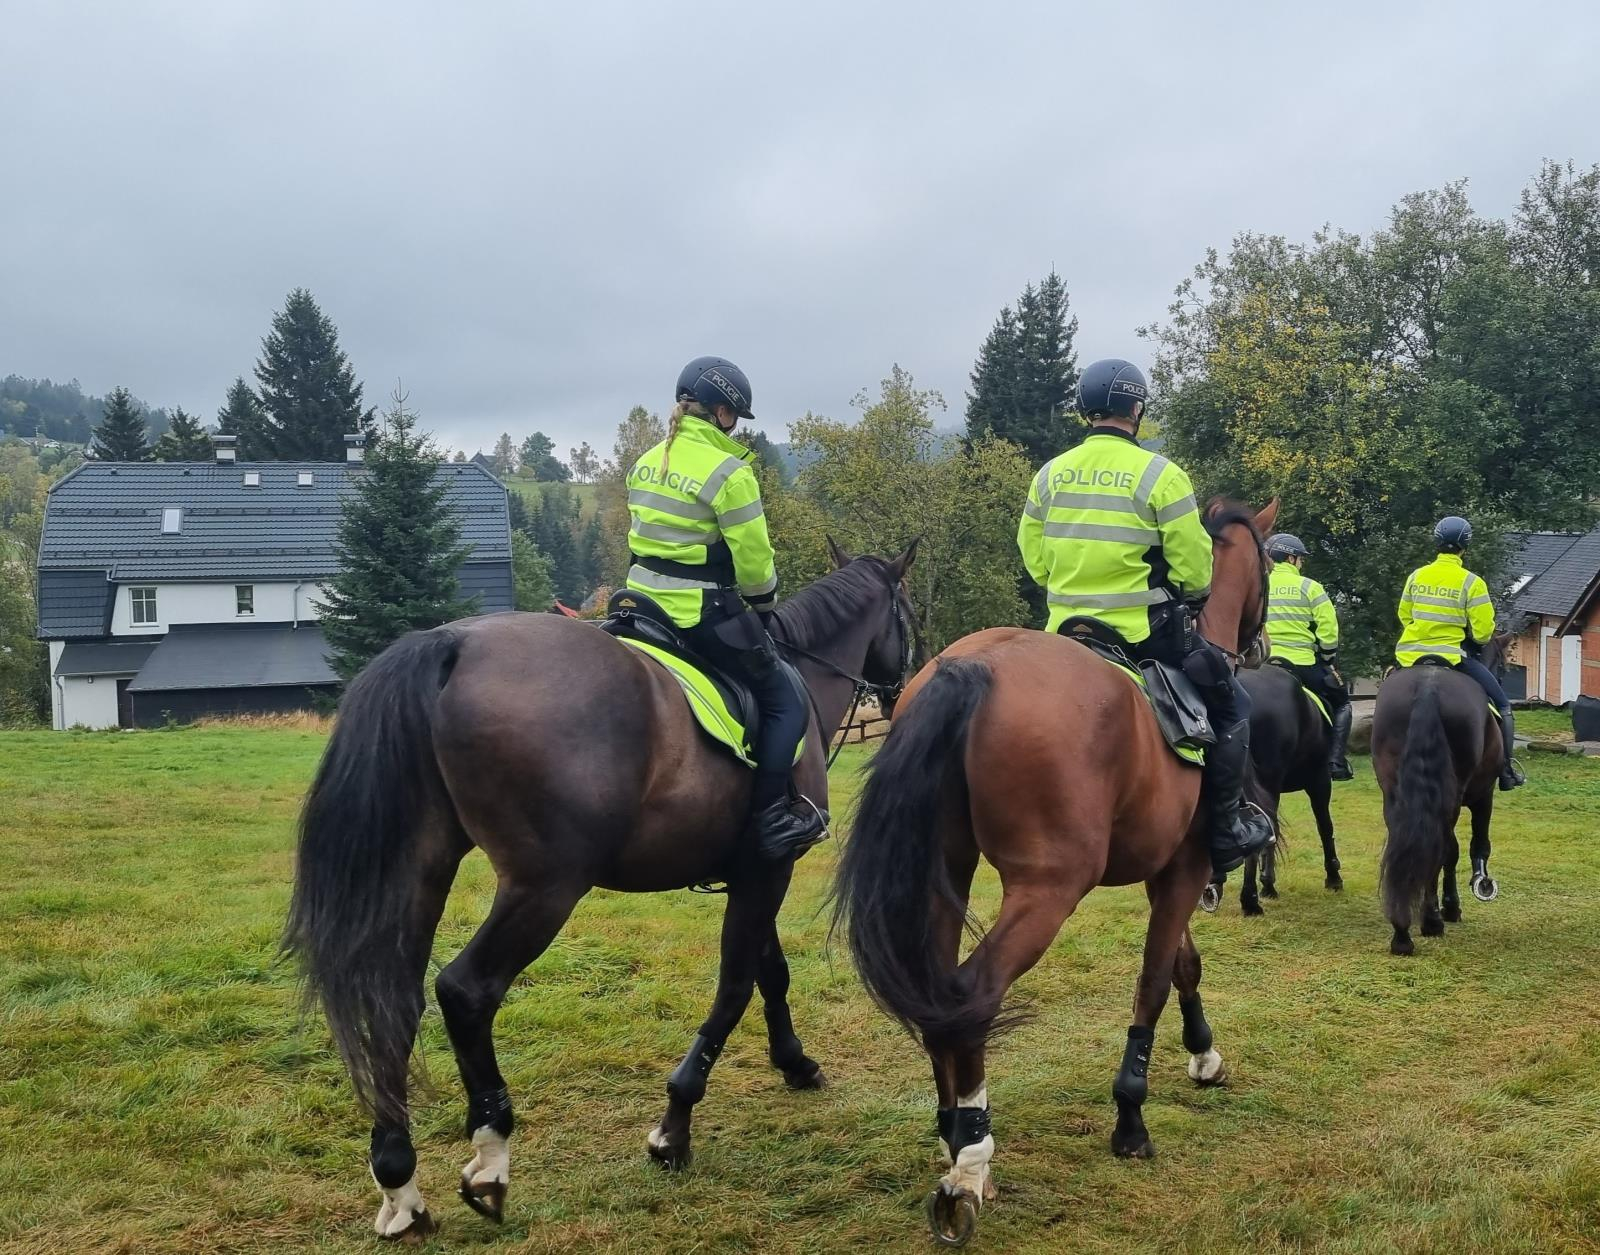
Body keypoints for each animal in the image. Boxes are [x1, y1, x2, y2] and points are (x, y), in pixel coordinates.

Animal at [281, 544, 921, 1242]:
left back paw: (400, 1183)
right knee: (465, 991)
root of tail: (452, 643)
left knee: (394, 999)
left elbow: (768, 973)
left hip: (424, 871)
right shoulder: (766, 873)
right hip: (547, 887)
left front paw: (794, 1063)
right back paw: (490, 1156)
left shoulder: (756, 871)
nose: (902, 689)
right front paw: (674, 1129)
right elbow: (734, 988)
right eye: (907, 614)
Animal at [838, 499, 1273, 1242]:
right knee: (973, 992)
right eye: (1271, 568)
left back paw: (954, 1130)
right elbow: (1153, 983)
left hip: (945, 874)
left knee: (938, 992)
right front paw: (1131, 1116)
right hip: (1048, 888)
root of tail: (972, 667)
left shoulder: (1169, 872)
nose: (1262, 647)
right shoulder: (1184, 871)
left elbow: (1183, 967)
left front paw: (1204, 1055)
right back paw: (970, 1164)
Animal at [1203, 662, 1344, 915]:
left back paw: (1215, 885)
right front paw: (1333, 876)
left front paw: (1267, 883)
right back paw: (1249, 900)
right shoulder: (1319, 781)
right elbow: (1324, 826)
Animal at [1369, 653, 1504, 954]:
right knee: (1440, 847)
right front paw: (1453, 906)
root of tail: (1428, 688)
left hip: (1394, 793)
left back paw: (1401, 930)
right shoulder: (1484, 795)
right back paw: (1431, 921)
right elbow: (1472, 846)